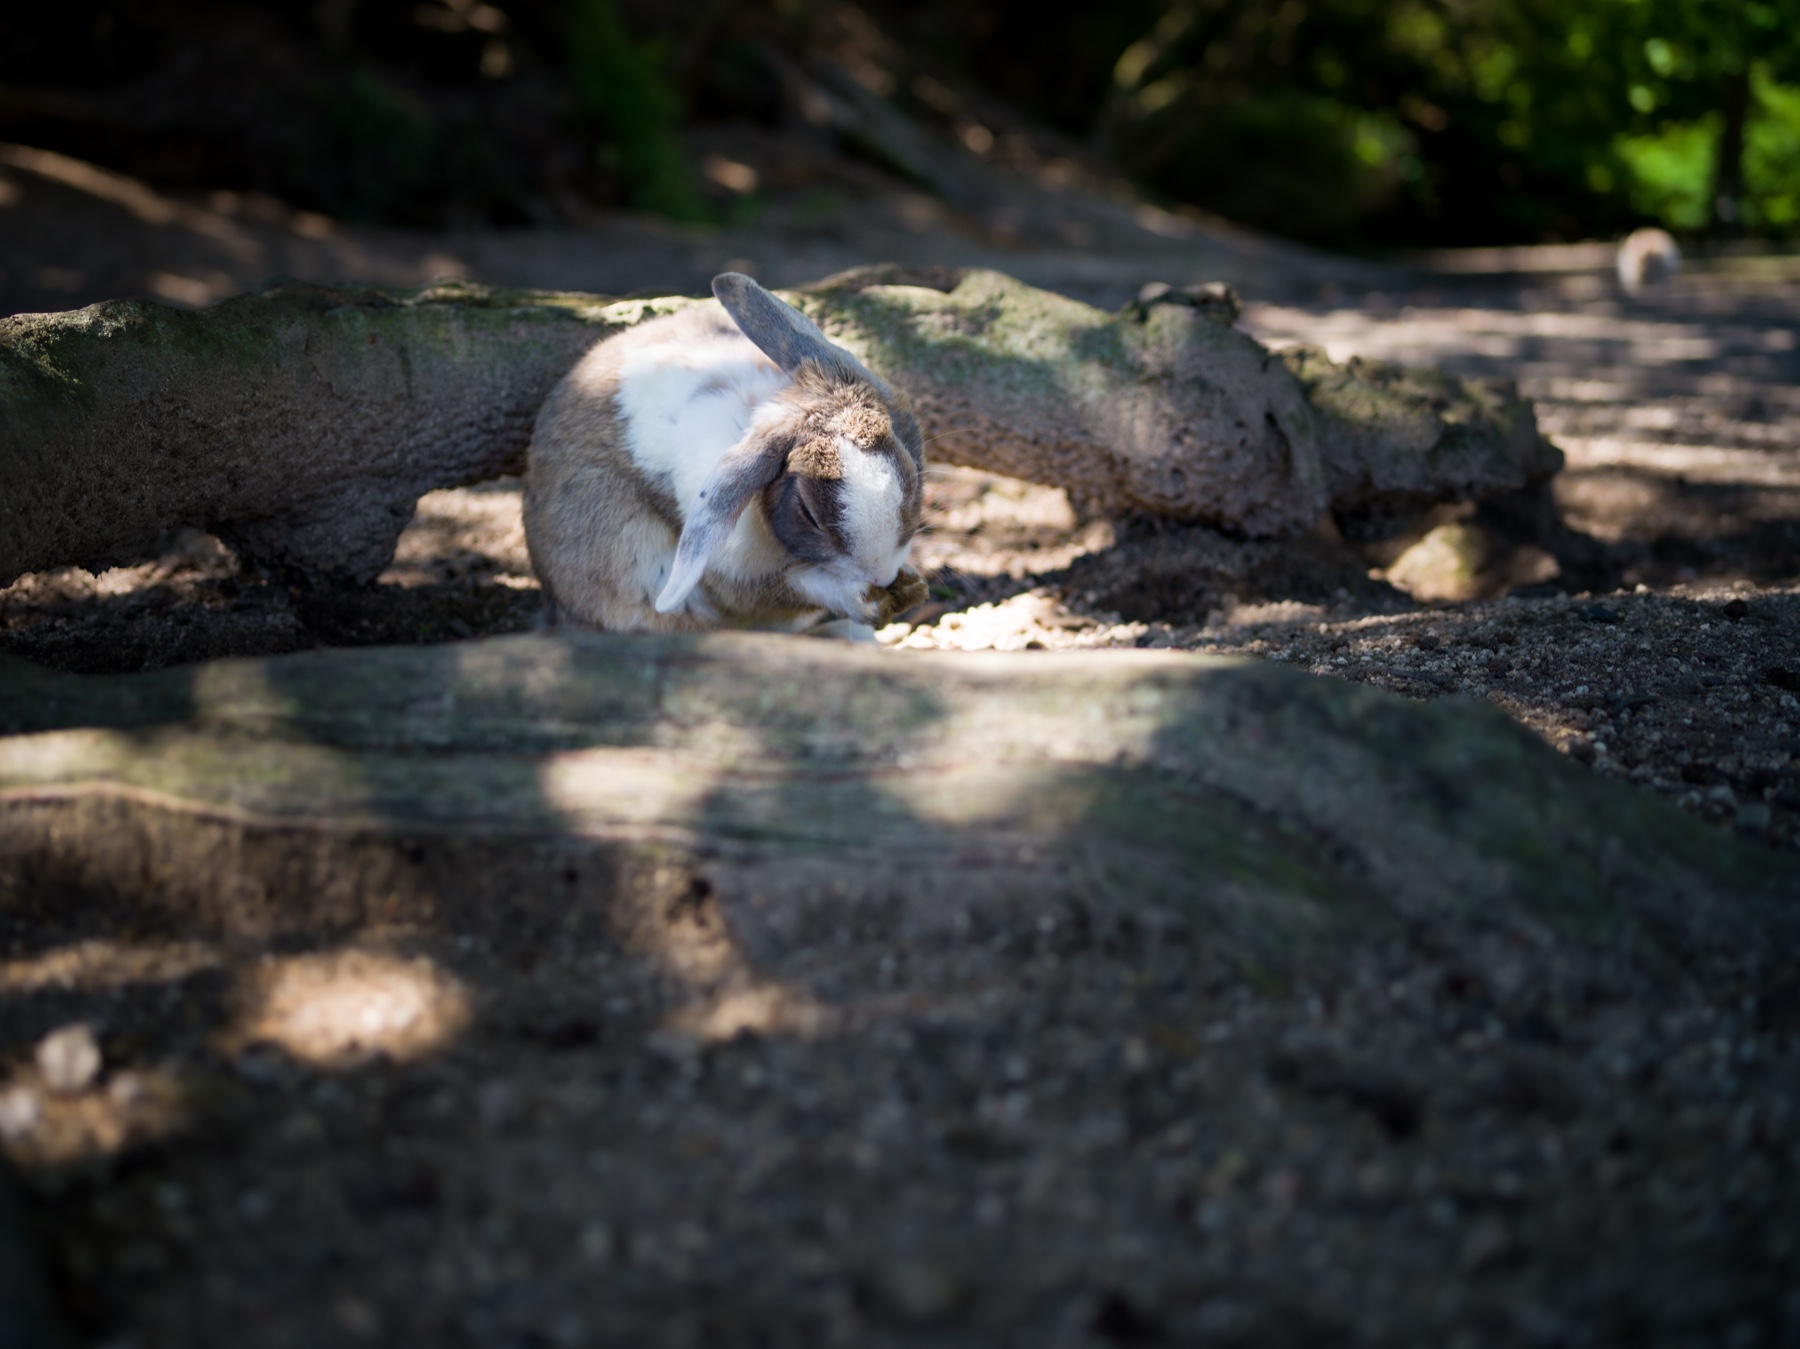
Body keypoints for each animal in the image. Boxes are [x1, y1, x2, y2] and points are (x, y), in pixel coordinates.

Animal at [522, 272, 927, 636]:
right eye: (808, 513)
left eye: (909, 482)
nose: (882, 574)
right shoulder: (740, 577)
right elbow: (798, 587)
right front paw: (867, 600)